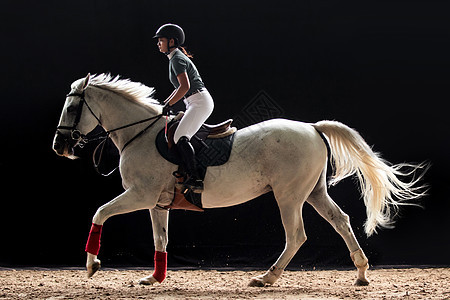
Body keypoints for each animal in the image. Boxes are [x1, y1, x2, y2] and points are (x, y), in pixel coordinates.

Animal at [51, 74, 426, 288]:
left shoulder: (139, 194)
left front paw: (92, 265)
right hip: (314, 191)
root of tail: (311, 127)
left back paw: (266, 277)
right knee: (341, 220)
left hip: (288, 195)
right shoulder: (157, 202)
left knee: (297, 235)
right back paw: (361, 275)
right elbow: (161, 239)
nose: (59, 147)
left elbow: (100, 213)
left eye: (71, 109)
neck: (138, 134)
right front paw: (154, 278)